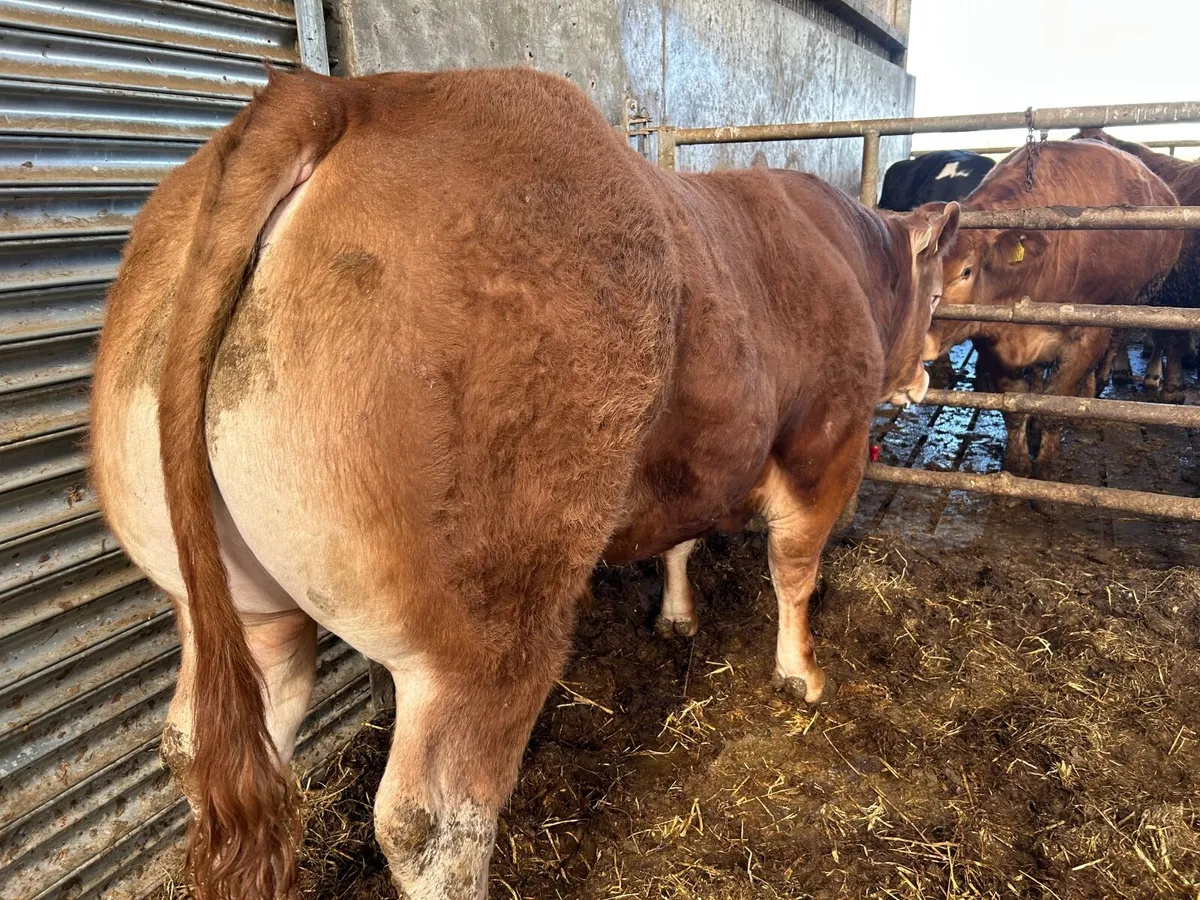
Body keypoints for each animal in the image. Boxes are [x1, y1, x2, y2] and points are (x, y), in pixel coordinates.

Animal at [90, 67, 959, 900]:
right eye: (939, 292)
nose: (930, 370)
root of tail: (334, 94)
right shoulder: (826, 446)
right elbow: (796, 571)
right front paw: (803, 675)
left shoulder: (695, 460)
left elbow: (679, 542)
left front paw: (678, 618)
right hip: (487, 628)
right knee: (434, 824)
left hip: (238, 603)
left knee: (204, 743)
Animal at [923, 140, 1181, 479]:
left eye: (966, 271)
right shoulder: (991, 338)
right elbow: (1017, 405)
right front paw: (1018, 462)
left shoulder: (1088, 336)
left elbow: (1055, 405)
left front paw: (1045, 466)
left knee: (1109, 353)